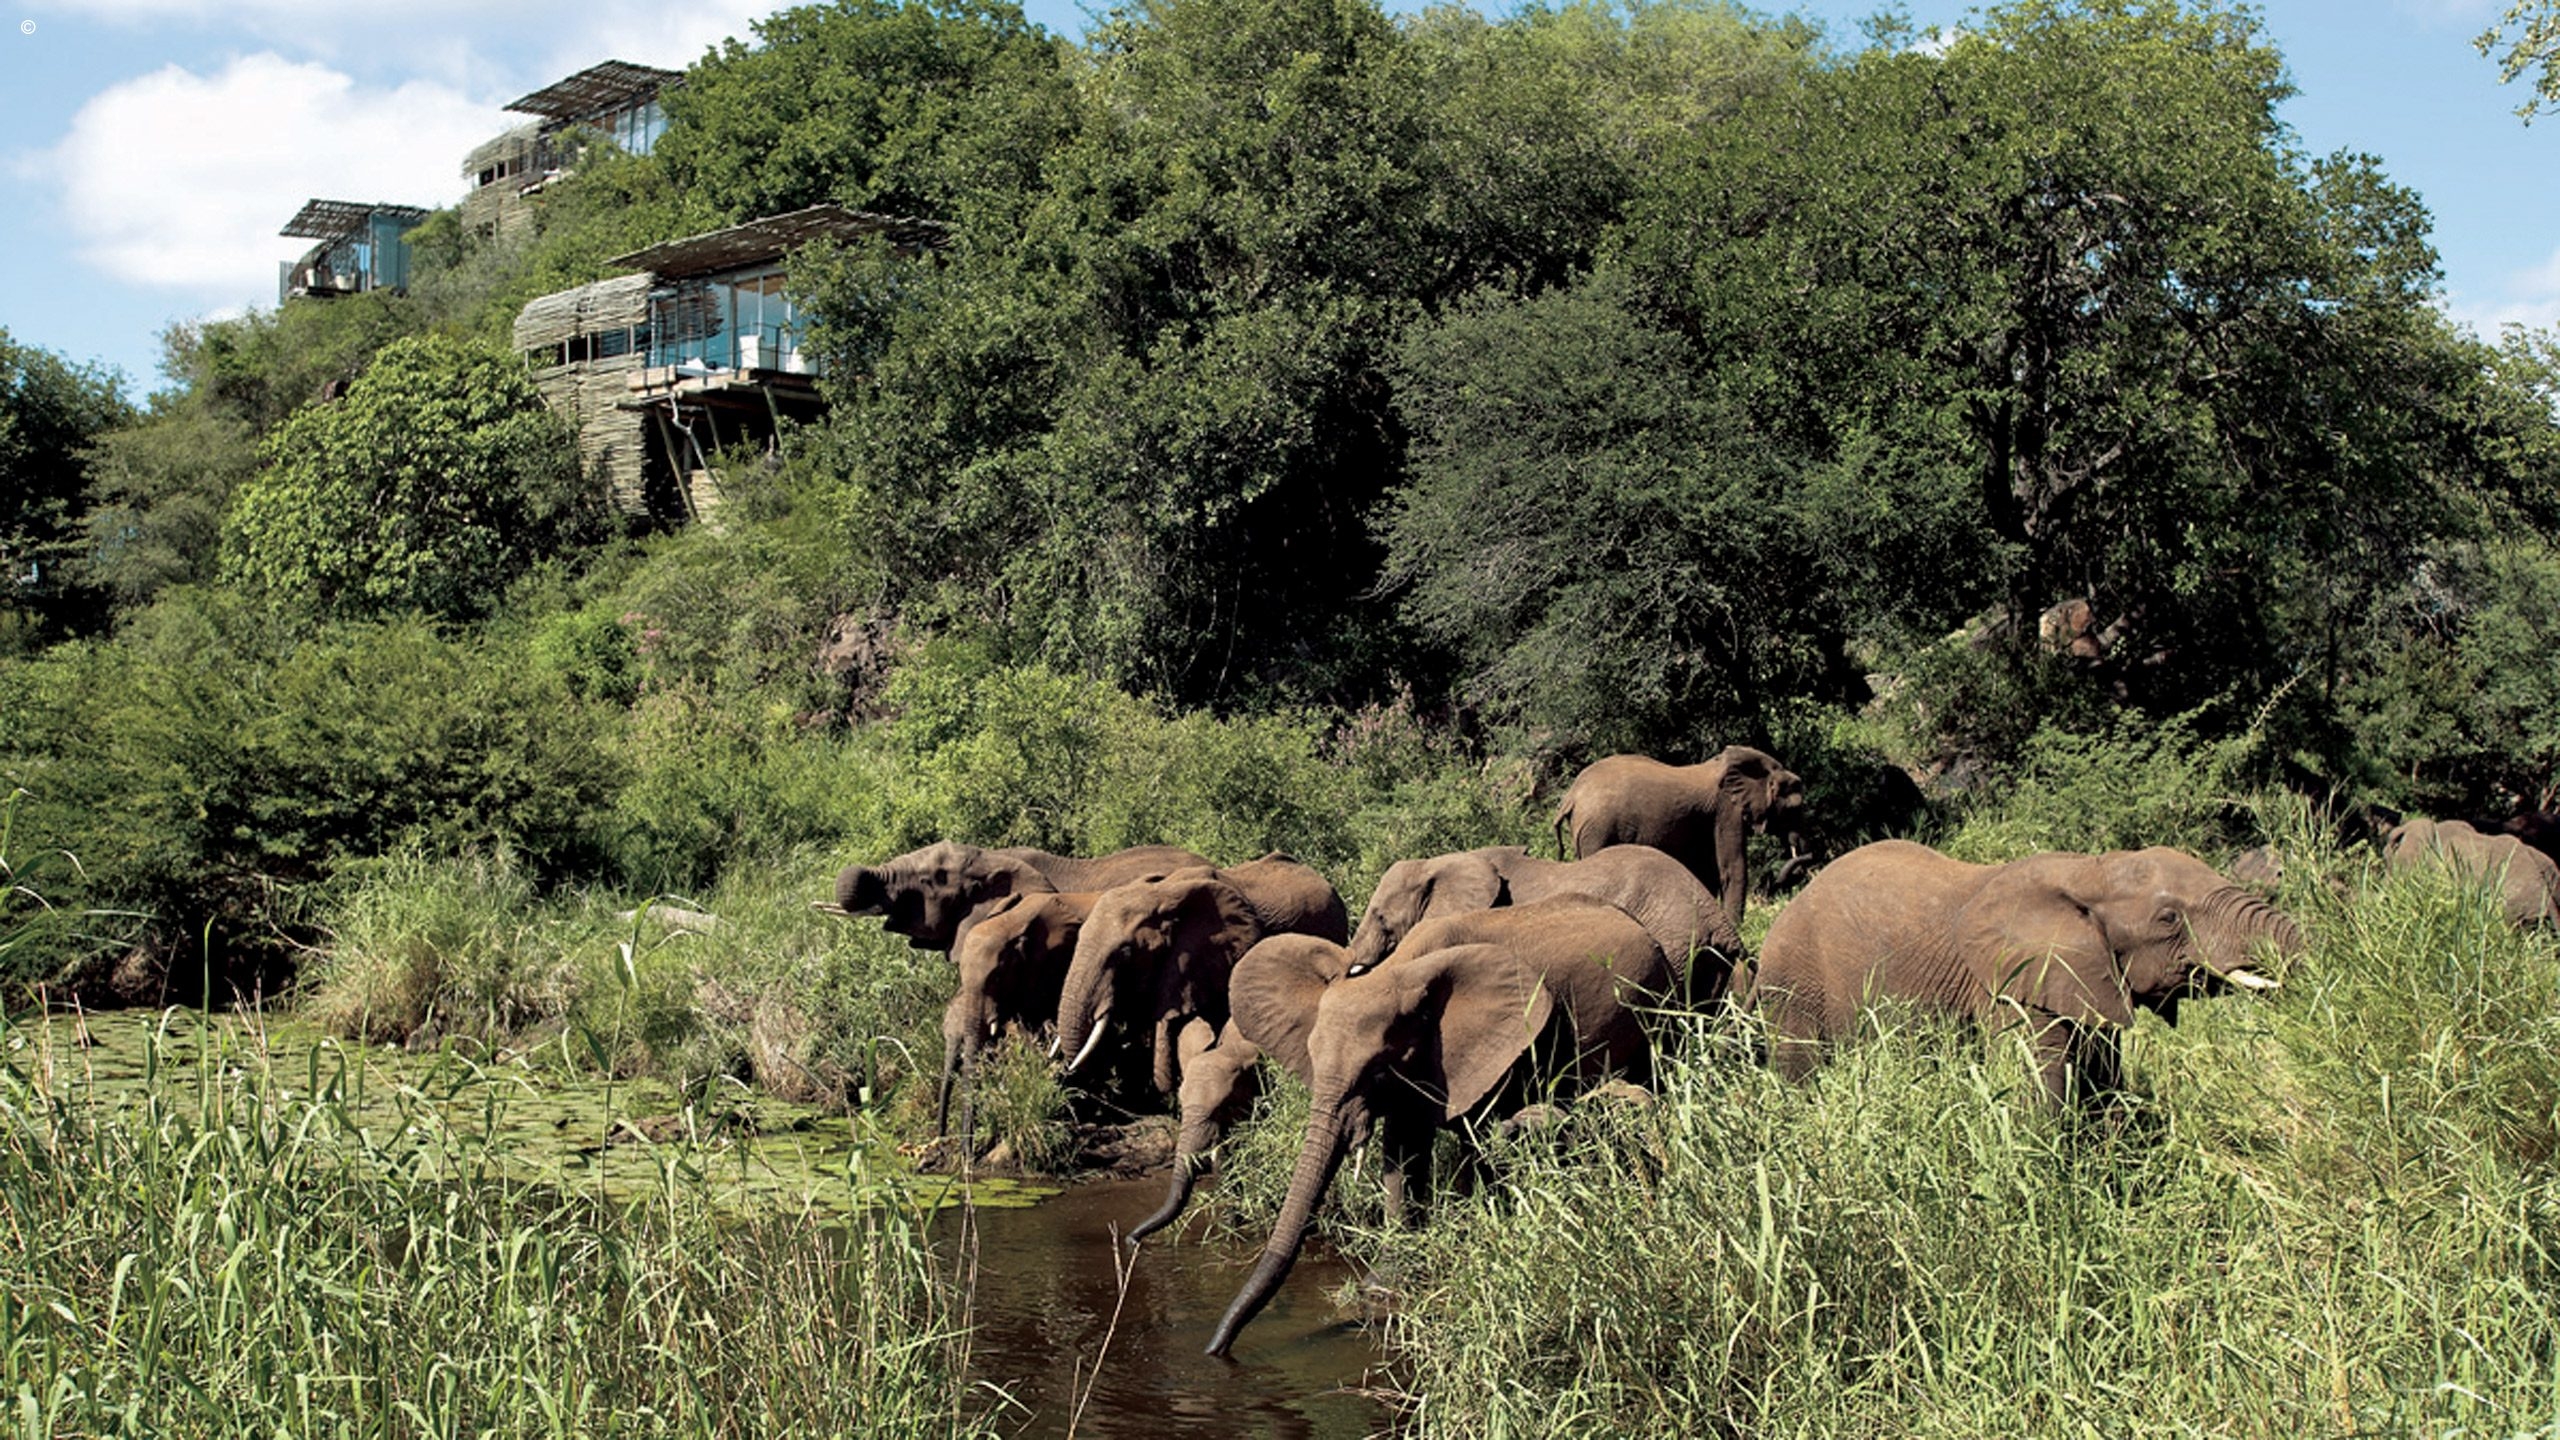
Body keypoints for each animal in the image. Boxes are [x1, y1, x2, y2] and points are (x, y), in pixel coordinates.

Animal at [1205, 896, 1668, 1356]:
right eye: (1313, 1058)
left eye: (1376, 1069)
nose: (1216, 1350)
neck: (1399, 970)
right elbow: (1402, 1148)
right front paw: (1385, 1286)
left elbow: (1480, 1140)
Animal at [1551, 746, 1808, 927]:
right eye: (1794, 808)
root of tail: (1571, 796)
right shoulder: (1727, 810)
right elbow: (1732, 867)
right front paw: (1736, 929)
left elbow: (1707, 873)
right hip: (1598, 829)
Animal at [1752, 840, 2297, 1103]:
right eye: (2168, 918)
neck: (2089, 869)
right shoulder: (2012, 986)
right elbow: (2038, 1094)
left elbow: (2106, 1085)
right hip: (1794, 987)